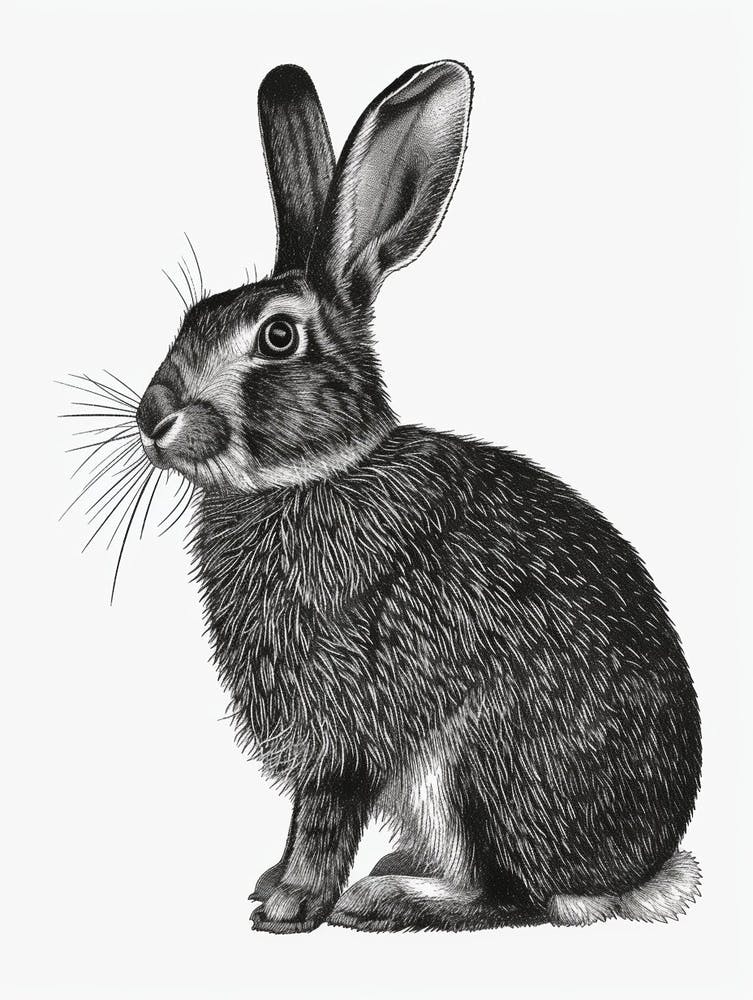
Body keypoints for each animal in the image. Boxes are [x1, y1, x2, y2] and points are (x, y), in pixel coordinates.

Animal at [134, 61, 701, 933]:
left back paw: (384, 897)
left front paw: (290, 905)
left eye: (277, 337)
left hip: (473, 767)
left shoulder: (347, 719)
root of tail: (637, 873)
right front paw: (270, 883)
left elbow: (323, 814)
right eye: (192, 316)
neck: (316, 472)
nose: (152, 417)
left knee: (511, 898)